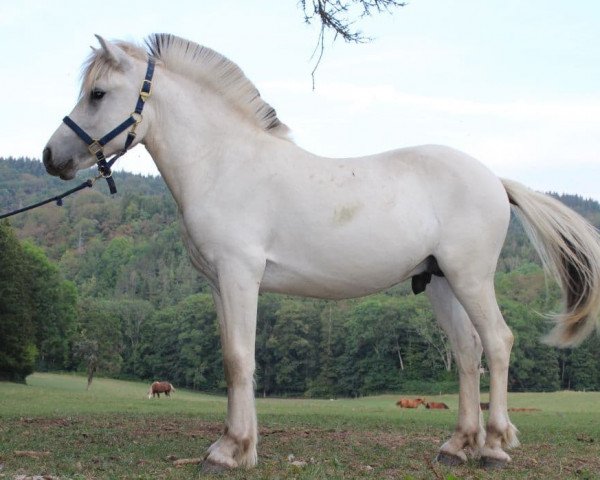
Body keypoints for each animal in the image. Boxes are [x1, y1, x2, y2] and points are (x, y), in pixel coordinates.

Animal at [44, 35, 600, 470]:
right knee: (468, 352)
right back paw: (455, 447)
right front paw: (237, 447)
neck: (226, 163)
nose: (51, 157)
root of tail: (494, 179)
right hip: (439, 282)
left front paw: (230, 451)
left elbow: (239, 359)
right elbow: (234, 360)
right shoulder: (220, 283)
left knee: (500, 343)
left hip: (471, 278)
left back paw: (494, 447)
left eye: (97, 93)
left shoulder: (240, 275)